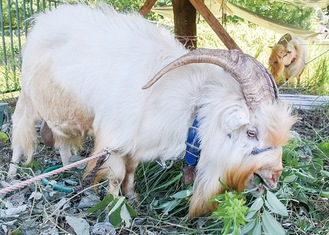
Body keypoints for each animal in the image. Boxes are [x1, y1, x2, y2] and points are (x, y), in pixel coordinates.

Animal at [9, 3, 294, 218]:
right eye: (252, 133)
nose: (274, 177)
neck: (189, 105)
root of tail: (42, 20)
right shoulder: (113, 142)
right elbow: (115, 176)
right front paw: (116, 209)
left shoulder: (137, 141)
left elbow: (131, 171)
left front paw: (132, 197)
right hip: (27, 98)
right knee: (20, 131)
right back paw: (13, 173)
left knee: (62, 141)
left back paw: (68, 166)